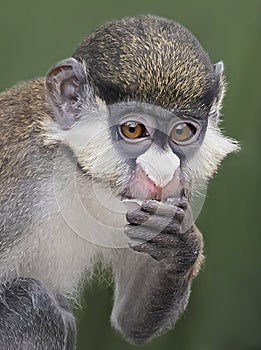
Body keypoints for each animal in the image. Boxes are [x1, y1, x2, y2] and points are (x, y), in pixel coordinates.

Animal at [0, 15, 238, 350]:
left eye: (181, 132)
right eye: (134, 129)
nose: (162, 174)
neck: (77, 172)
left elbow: (131, 321)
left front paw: (180, 245)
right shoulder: (21, 189)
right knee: (33, 307)